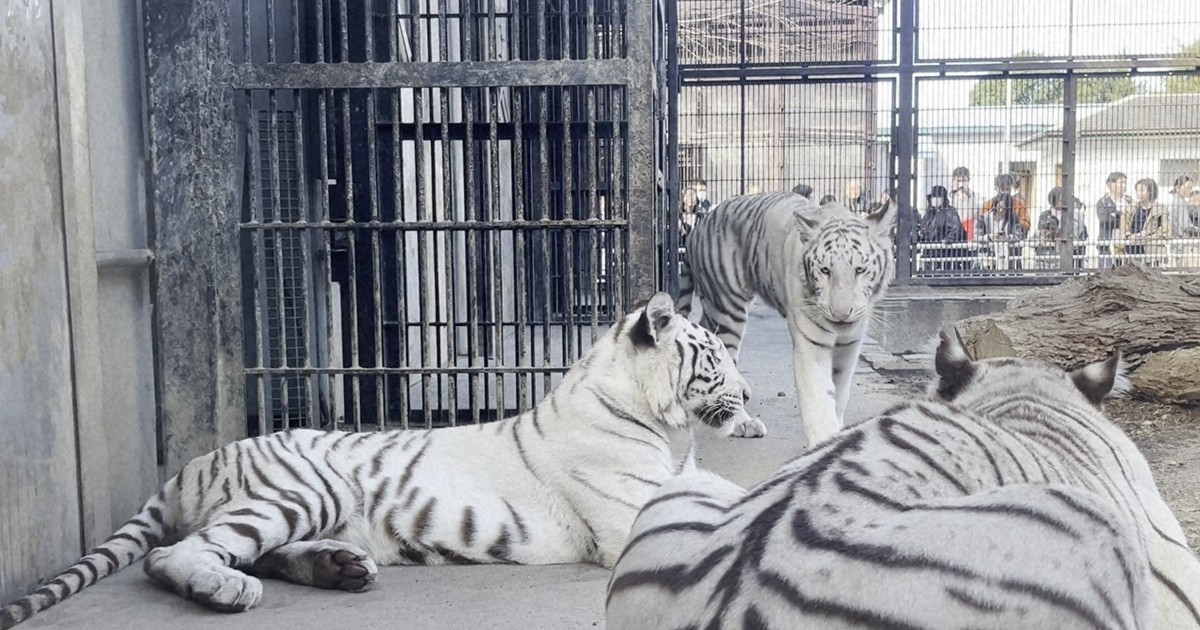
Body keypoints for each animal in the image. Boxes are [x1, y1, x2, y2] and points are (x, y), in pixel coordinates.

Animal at [0, 292, 752, 628]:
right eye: (715, 358)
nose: (747, 396)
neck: (666, 428)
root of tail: (192, 464)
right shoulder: (634, 510)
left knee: (255, 551)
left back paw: (339, 568)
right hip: (304, 489)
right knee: (177, 553)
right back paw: (223, 589)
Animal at [677, 191, 895, 443]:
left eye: (860, 270)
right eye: (825, 270)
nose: (840, 315)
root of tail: (699, 226)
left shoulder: (850, 345)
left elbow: (840, 393)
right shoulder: (811, 347)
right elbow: (819, 400)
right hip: (728, 308)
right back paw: (743, 422)